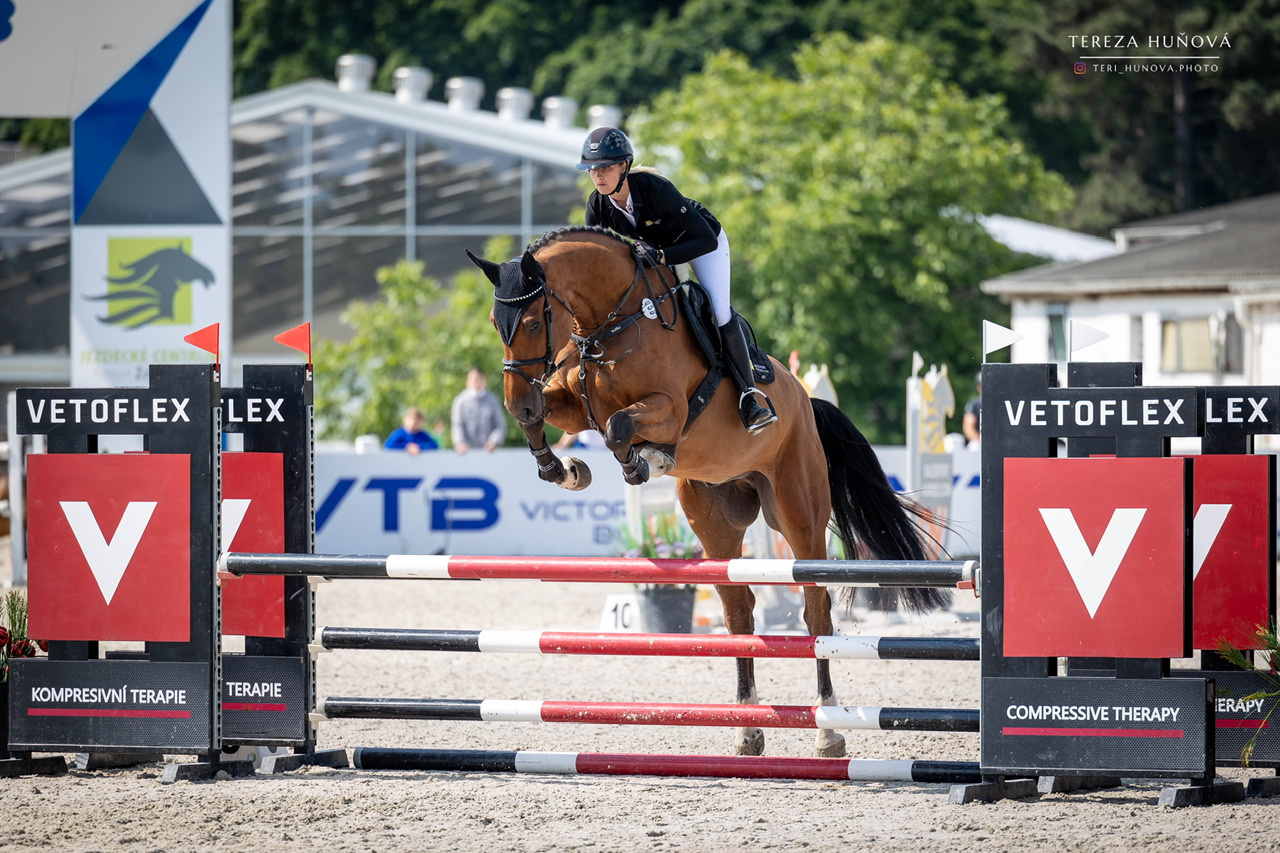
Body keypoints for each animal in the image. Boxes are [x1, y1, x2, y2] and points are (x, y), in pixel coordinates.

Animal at [467, 226, 946, 758]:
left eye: (533, 322)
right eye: (495, 322)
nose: (516, 397)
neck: (609, 326)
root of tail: (804, 399)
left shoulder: (669, 408)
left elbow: (617, 428)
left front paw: (646, 460)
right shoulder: (571, 405)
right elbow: (555, 421)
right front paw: (564, 469)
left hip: (798, 514)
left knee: (816, 611)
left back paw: (828, 731)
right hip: (717, 522)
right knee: (739, 614)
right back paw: (748, 731)